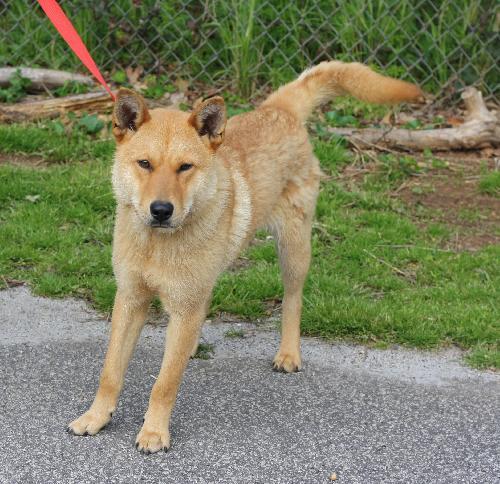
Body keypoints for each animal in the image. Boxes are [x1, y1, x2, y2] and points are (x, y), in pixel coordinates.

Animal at [68, 61, 424, 454]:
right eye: (144, 163)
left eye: (185, 167)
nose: (161, 210)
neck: (157, 244)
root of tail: (278, 109)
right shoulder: (131, 299)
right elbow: (110, 371)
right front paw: (96, 417)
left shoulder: (182, 305)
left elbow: (164, 383)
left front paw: (154, 431)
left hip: (293, 250)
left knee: (293, 300)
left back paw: (288, 353)